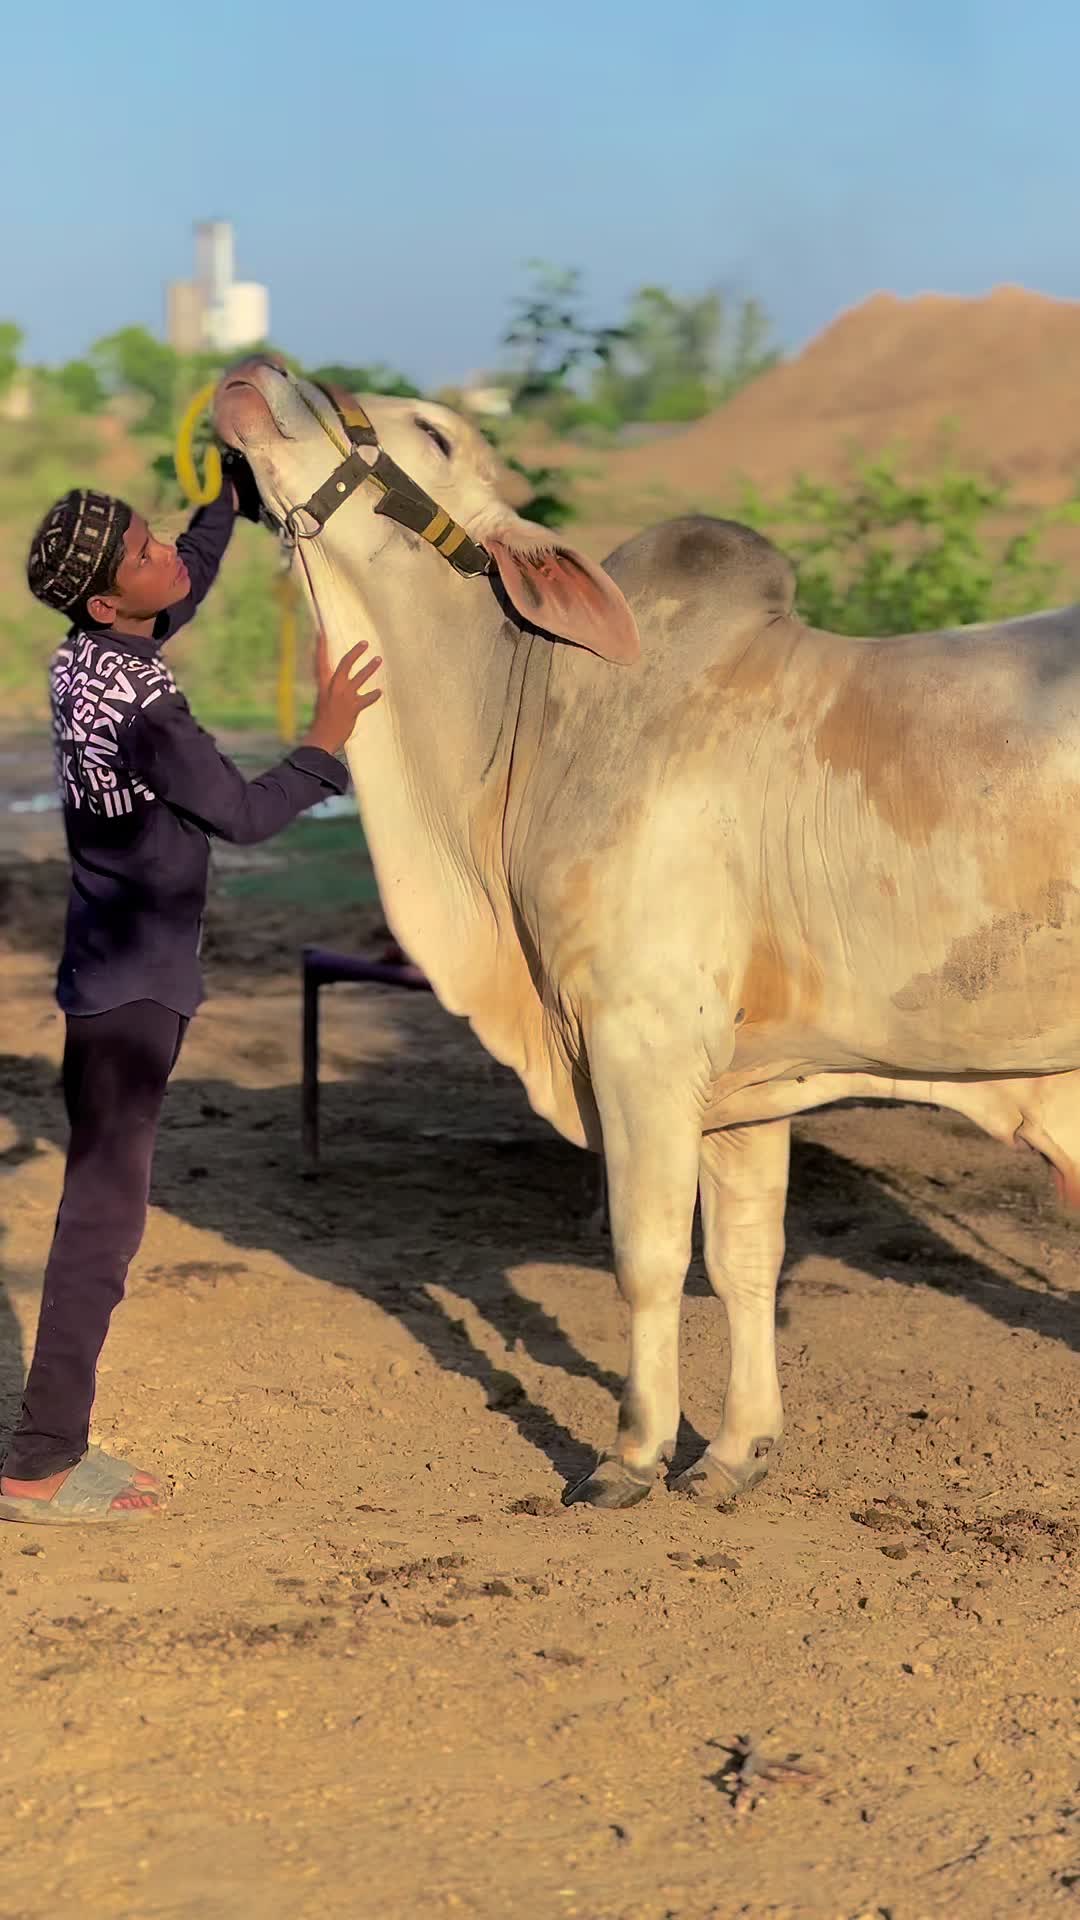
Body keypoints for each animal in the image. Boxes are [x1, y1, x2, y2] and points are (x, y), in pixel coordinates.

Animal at [215, 358, 1080, 1511]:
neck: (536, 723)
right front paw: (737, 1450)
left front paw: (632, 1453)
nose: (253, 373)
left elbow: (649, 1256)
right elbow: (744, 1259)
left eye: (435, 434)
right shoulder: (751, 1082)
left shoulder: (644, 1040)